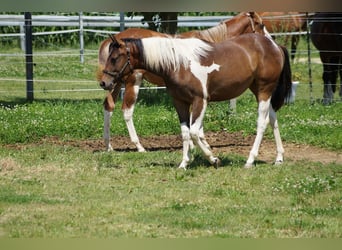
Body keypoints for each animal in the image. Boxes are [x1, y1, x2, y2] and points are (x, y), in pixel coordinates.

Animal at [97, 11, 270, 152]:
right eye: (261, 24)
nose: (269, 40)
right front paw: (199, 144)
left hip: (115, 82)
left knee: (108, 106)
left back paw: (108, 146)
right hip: (133, 82)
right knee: (127, 110)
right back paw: (139, 146)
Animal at [99, 33, 292, 170]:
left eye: (114, 58)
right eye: (108, 57)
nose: (104, 83)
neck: (178, 63)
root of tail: (275, 45)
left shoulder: (200, 100)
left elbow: (193, 132)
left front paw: (214, 159)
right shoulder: (180, 102)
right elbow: (185, 133)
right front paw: (184, 163)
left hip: (264, 90)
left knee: (262, 123)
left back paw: (250, 160)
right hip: (258, 90)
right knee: (273, 119)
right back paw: (279, 158)